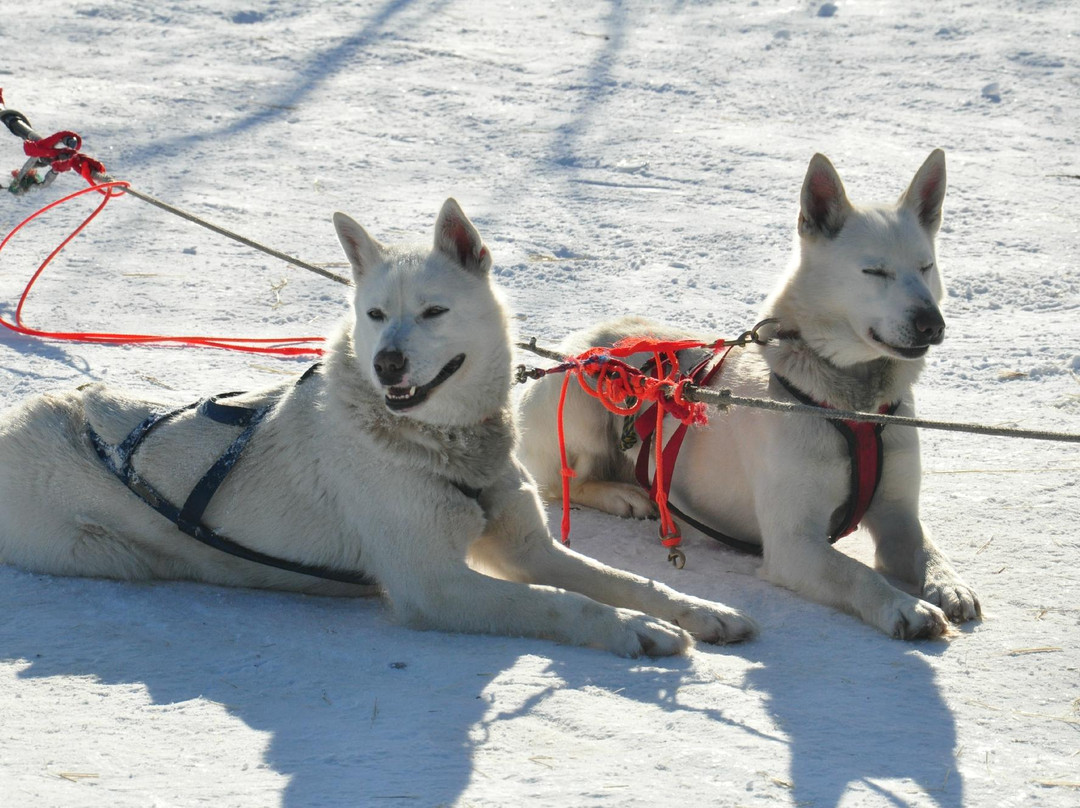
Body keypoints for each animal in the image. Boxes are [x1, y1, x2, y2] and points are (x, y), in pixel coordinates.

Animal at [0, 200, 756, 656]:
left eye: (432, 311)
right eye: (373, 315)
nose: (387, 362)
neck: (441, 445)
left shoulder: (528, 550)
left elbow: (628, 581)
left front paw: (696, 610)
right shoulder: (439, 585)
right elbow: (563, 606)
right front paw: (634, 631)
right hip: (103, 553)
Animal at [518, 151, 984, 639]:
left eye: (926, 267)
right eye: (875, 271)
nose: (932, 323)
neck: (853, 407)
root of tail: (576, 343)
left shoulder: (898, 517)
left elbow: (927, 549)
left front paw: (948, 584)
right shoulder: (794, 543)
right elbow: (859, 574)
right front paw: (902, 605)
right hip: (585, 411)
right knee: (561, 484)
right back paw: (622, 496)